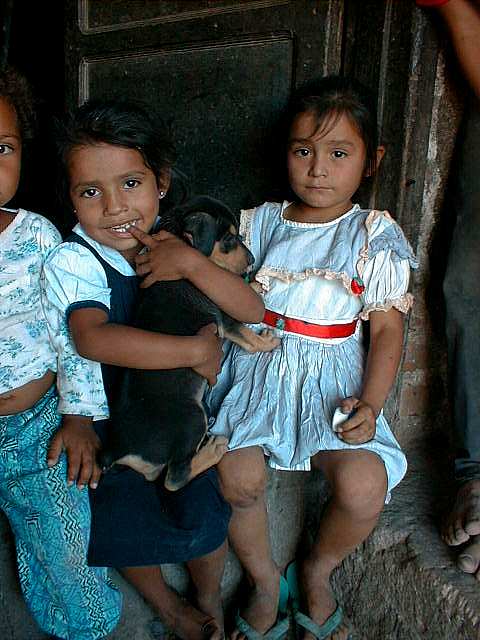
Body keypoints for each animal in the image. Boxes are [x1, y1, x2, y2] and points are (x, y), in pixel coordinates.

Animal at [100, 195, 279, 491]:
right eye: (228, 239)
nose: (252, 261)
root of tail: (119, 449)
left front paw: (254, 285)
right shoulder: (226, 319)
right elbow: (250, 340)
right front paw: (269, 341)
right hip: (192, 416)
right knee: (174, 478)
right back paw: (214, 449)